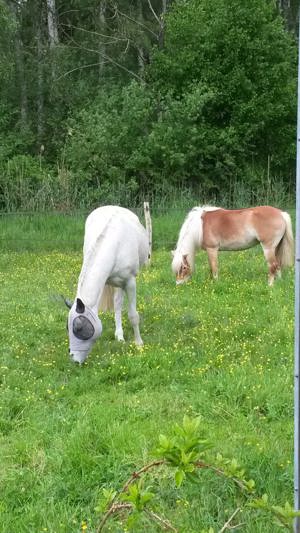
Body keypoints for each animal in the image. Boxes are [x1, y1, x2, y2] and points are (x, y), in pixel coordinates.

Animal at [64, 206, 151, 364]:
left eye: (79, 328)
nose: (73, 359)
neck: (115, 244)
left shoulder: (130, 282)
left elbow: (133, 315)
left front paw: (139, 343)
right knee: (117, 304)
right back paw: (119, 335)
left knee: (118, 303)